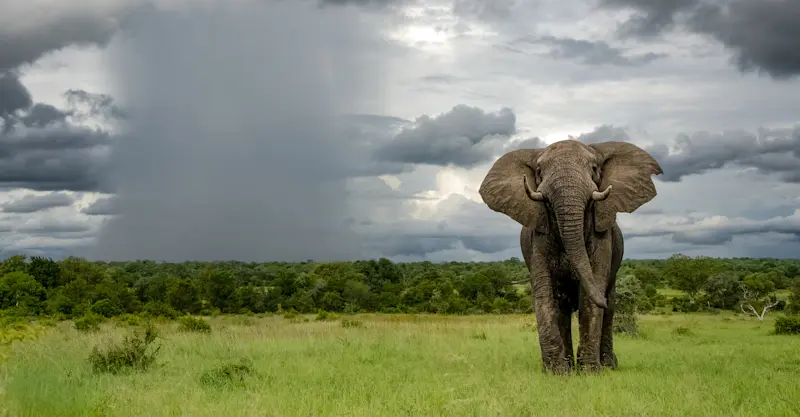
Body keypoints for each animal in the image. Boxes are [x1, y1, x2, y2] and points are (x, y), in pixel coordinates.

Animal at [478, 139, 662, 373]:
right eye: (539, 171)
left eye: (594, 168)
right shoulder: (538, 237)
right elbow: (545, 294)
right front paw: (556, 372)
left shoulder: (602, 237)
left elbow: (591, 294)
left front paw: (590, 372)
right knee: (563, 308)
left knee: (609, 307)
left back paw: (608, 365)